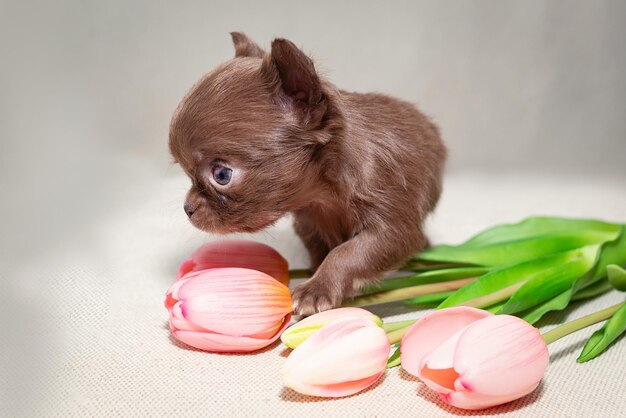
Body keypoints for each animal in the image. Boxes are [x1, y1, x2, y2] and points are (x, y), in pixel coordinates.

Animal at [168, 33, 446, 314]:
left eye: (222, 175)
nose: (187, 208)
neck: (323, 194)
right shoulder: (307, 222)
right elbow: (319, 247)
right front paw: (314, 272)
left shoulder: (391, 228)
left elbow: (347, 253)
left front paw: (317, 288)